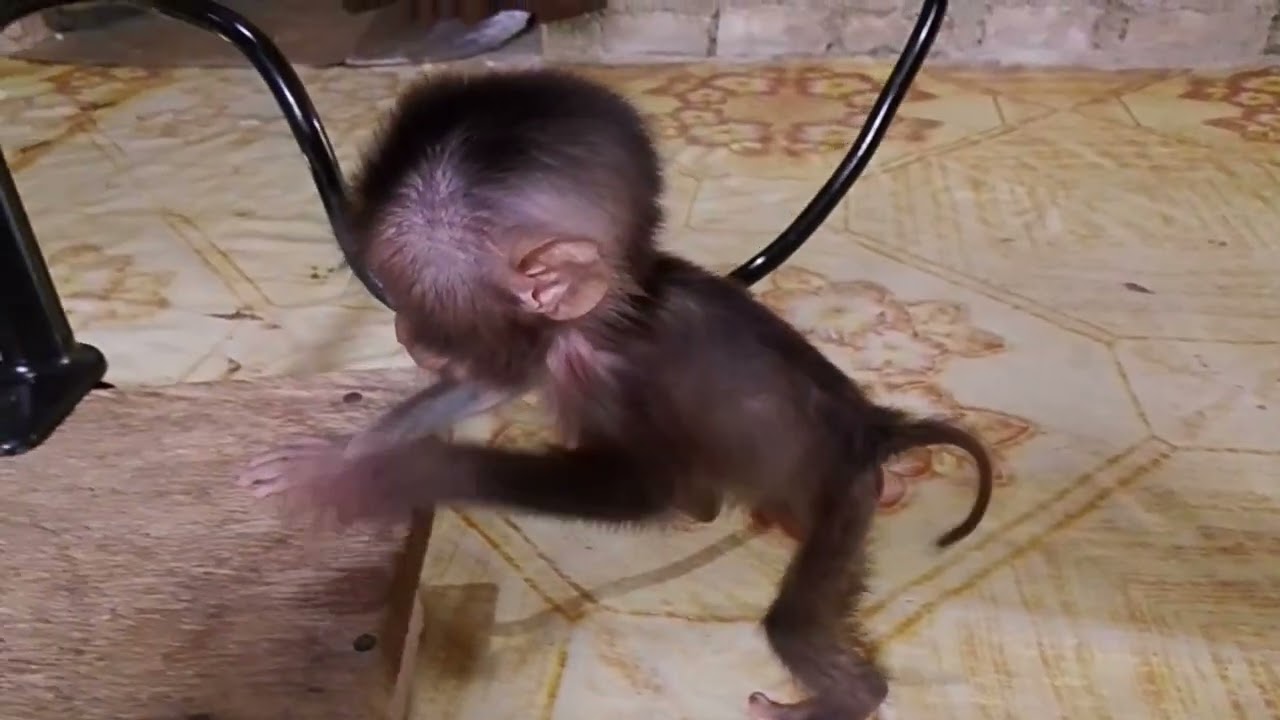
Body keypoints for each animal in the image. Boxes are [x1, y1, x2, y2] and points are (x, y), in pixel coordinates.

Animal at [237, 68, 994, 720]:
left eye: (407, 295)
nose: (402, 330)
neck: (600, 318)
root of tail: (874, 425)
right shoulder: (538, 353)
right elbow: (486, 385)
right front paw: (342, 452)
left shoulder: (614, 379)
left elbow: (650, 491)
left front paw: (397, 474)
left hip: (844, 497)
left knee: (793, 625)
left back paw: (845, 698)